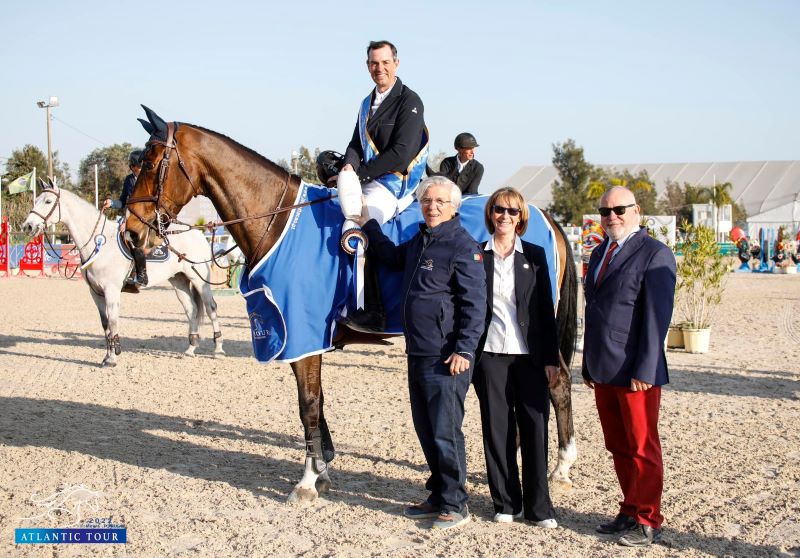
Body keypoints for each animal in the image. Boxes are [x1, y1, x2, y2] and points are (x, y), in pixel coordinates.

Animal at [21, 179, 225, 367]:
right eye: (36, 199)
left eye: (48, 201)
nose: (28, 226)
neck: (99, 243)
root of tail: (197, 232)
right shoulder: (96, 293)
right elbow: (105, 324)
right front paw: (107, 356)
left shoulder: (111, 291)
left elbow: (113, 321)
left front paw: (113, 357)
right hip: (179, 281)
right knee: (191, 309)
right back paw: (190, 348)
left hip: (199, 279)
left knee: (211, 307)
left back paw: (218, 349)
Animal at [124, 106, 578, 502]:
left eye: (150, 165)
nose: (131, 234)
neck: (278, 219)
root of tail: (538, 214)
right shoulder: (305, 339)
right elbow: (316, 403)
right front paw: (323, 470)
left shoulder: (302, 334)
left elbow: (308, 405)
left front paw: (308, 482)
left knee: (556, 381)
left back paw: (560, 467)